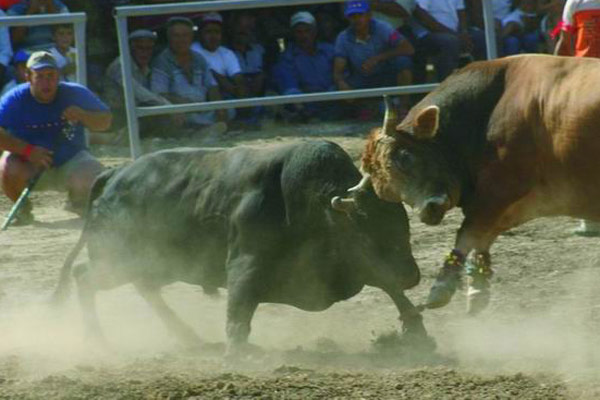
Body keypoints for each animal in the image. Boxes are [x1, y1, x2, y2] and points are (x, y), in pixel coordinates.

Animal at [50, 140, 426, 354]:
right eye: (366, 227)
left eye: (402, 222)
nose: (413, 275)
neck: (312, 206)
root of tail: (114, 176)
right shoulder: (247, 264)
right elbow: (239, 309)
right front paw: (237, 351)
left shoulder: (360, 265)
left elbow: (391, 288)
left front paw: (419, 333)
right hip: (119, 262)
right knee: (84, 277)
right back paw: (97, 340)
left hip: (153, 264)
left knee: (144, 289)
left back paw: (189, 337)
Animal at [358, 54, 600, 314]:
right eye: (387, 193)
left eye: (405, 156)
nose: (429, 211)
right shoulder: (523, 202)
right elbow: (483, 235)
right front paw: (477, 286)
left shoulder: (500, 189)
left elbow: (468, 232)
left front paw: (442, 286)